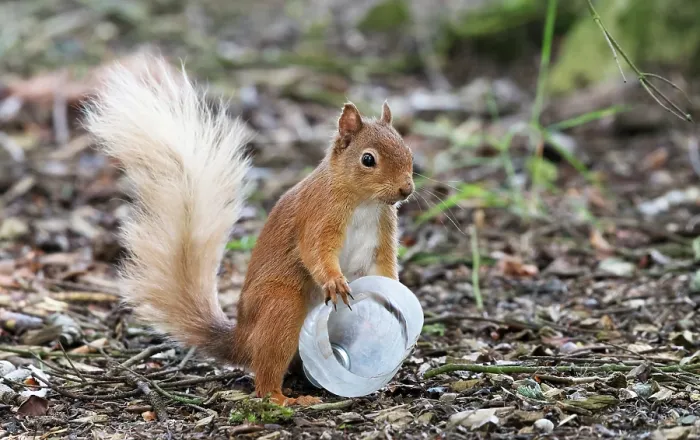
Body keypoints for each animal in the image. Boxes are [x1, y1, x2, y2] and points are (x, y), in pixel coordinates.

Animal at [84, 55, 414, 406]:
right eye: (368, 159)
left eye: (408, 151)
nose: (406, 189)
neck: (364, 202)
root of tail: (243, 340)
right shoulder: (318, 216)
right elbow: (315, 251)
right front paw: (335, 281)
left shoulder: (383, 232)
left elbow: (384, 268)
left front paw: (397, 296)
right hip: (281, 305)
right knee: (266, 374)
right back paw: (283, 398)